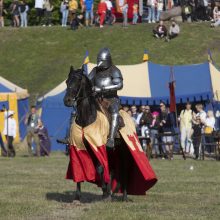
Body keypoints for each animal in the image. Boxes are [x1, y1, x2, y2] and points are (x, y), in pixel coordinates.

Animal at [63, 66, 131, 202]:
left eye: (78, 80)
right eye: (67, 81)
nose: (67, 100)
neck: (87, 117)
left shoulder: (98, 146)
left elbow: (100, 167)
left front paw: (104, 191)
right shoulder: (84, 147)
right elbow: (83, 168)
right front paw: (77, 196)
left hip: (123, 149)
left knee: (123, 169)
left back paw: (123, 196)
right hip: (112, 151)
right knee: (112, 169)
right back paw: (111, 192)